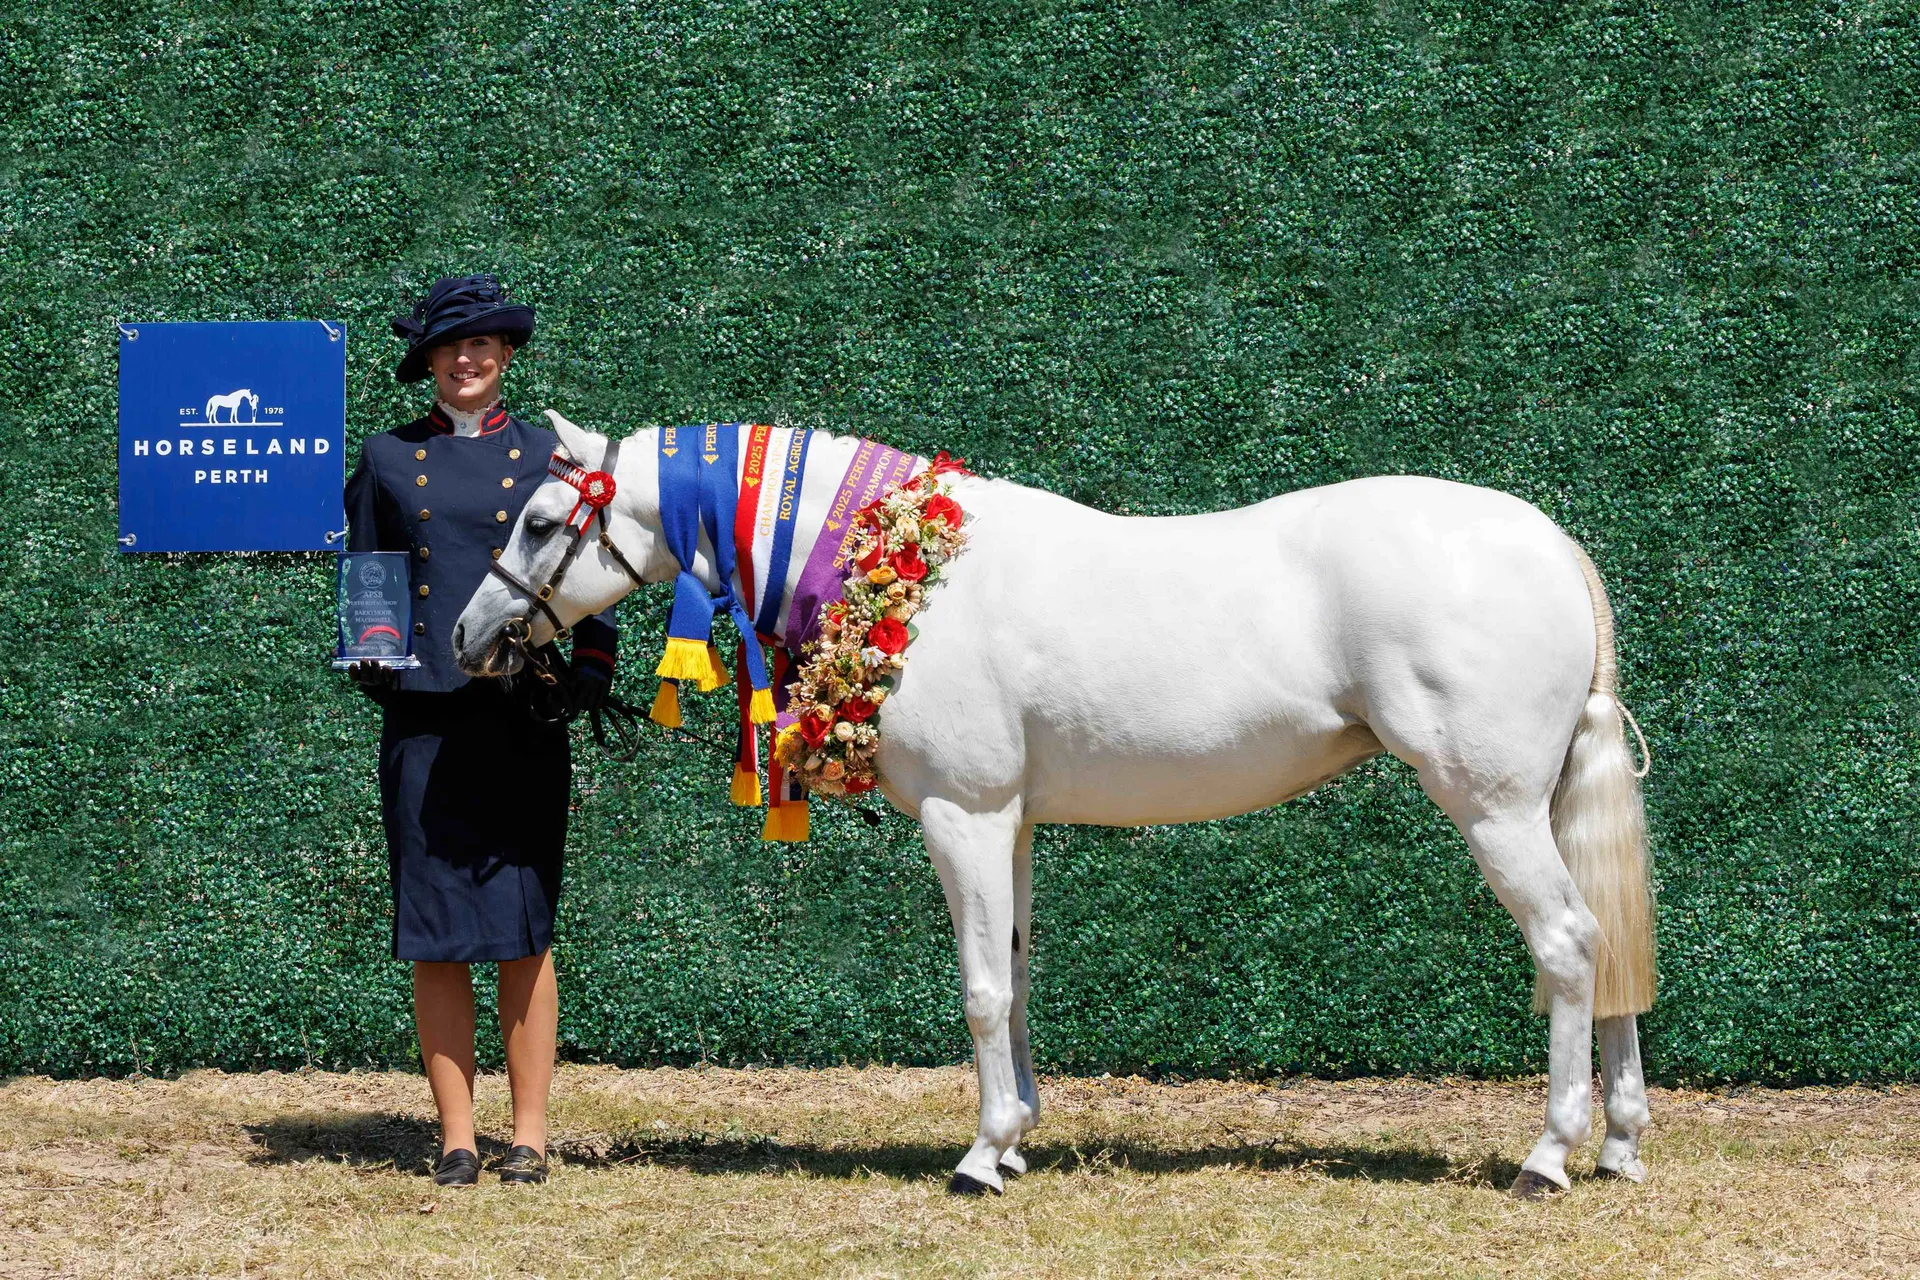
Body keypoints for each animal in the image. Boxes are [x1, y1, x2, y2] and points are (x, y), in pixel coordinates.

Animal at [452, 413, 1657, 1200]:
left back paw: (1550, 1156)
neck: (912, 570)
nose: (470, 637)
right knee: (1605, 948)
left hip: (1492, 806)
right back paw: (1620, 1143)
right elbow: (1022, 977)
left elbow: (983, 990)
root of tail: (1550, 543)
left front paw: (981, 1157)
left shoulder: (966, 815)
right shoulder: (1015, 822)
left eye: (542, 520)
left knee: (1568, 942)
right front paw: (1021, 1134)